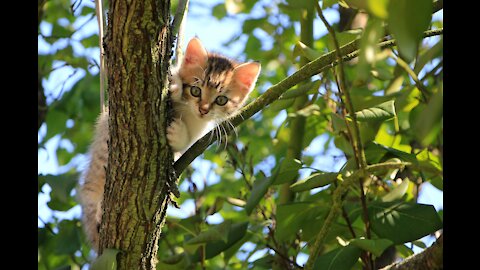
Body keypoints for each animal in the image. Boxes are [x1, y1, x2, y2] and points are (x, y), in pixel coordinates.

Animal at [79, 37, 260, 251]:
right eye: (195, 90)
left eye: (221, 100)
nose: (203, 110)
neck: (189, 112)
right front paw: (174, 86)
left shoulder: (198, 132)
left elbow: (186, 143)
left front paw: (177, 133)